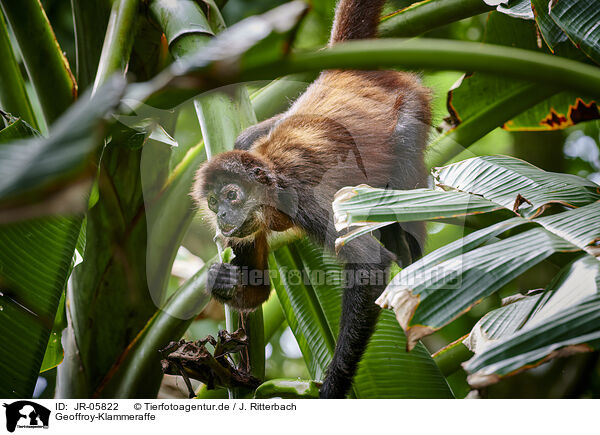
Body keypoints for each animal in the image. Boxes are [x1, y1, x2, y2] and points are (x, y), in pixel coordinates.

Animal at [192, 0, 432, 398]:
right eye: (213, 202)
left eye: (232, 196)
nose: (224, 216)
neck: (272, 176)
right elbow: (259, 289)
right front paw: (221, 281)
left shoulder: (303, 201)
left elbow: (370, 265)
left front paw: (334, 386)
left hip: (411, 111)